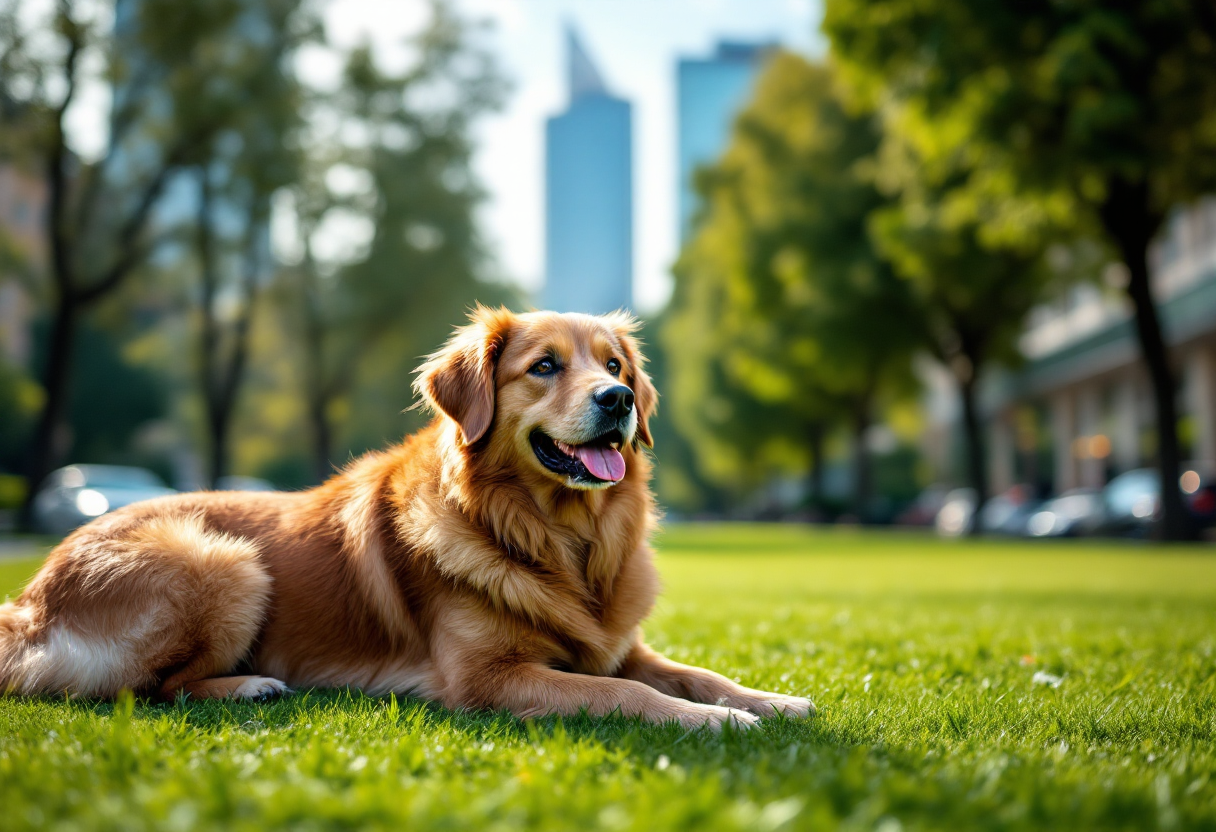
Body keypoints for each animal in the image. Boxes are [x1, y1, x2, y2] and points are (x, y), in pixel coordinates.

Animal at [2, 306, 817, 729]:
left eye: (615, 367)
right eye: (545, 367)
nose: (617, 401)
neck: (557, 537)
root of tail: (31, 598)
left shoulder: (620, 645)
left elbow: (695, 672)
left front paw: (769, 698)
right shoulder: (489, 680)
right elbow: (627, 695)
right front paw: (718, 723)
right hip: (222, 560)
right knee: (142, 690)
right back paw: (248, 686)